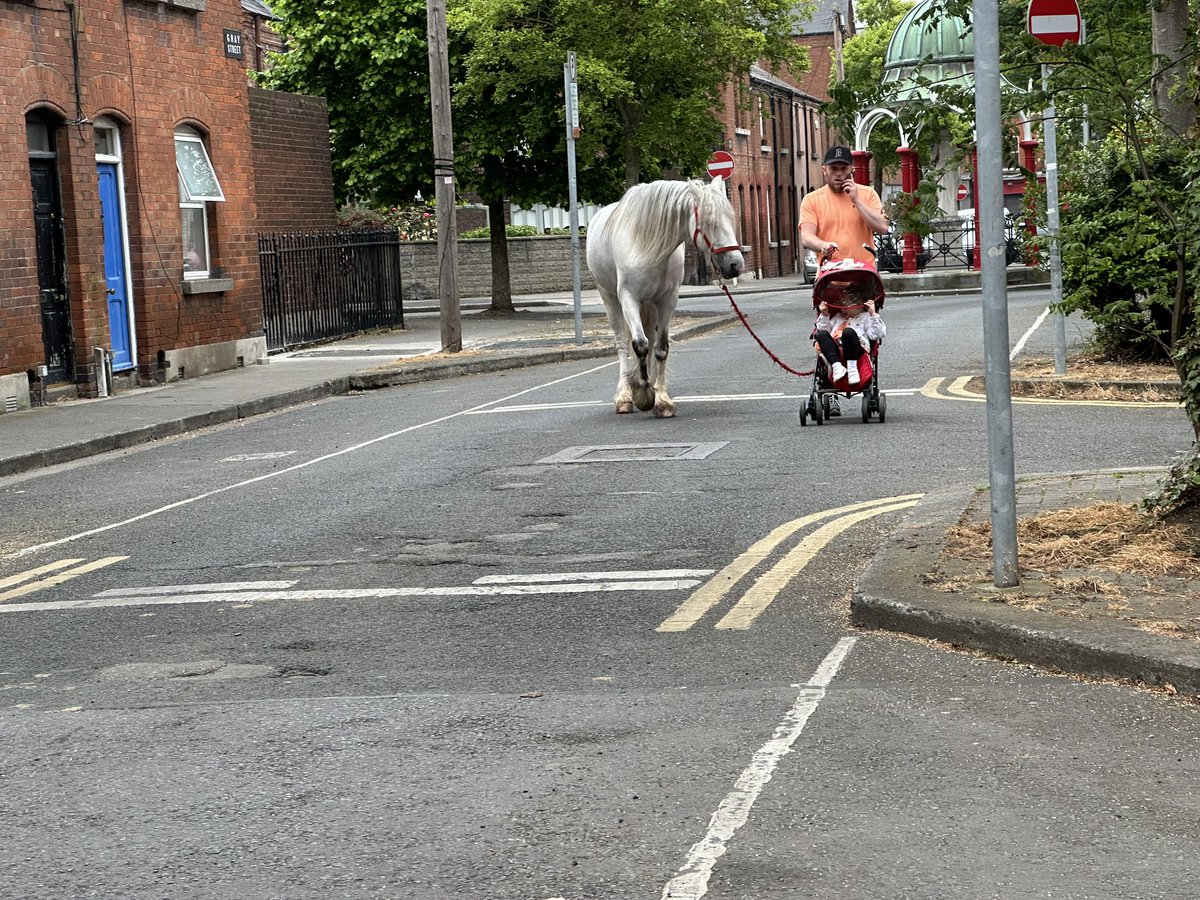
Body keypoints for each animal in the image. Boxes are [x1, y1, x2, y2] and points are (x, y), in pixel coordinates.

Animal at [583, 177, 739, 420]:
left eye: (731, 219)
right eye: (710, 222)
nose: (735, 264)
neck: (645, 244)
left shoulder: (667, 300)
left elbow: (660, 348)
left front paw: (661, 400)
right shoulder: (628, 298)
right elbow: (639, 345)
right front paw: (643, 394)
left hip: (650, 306)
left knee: (648, 338)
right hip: (610, 299)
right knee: (623, 345)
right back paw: (625, 396)